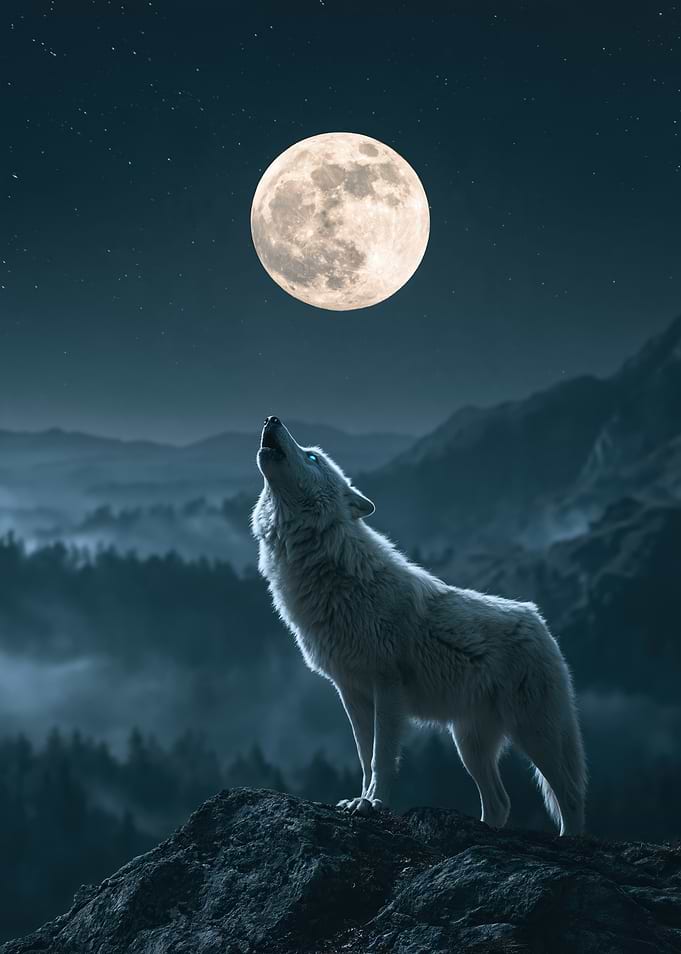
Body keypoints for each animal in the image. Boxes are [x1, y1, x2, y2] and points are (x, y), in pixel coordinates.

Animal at [251, 416, 586, 835]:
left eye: (313, 457)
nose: (271, 419)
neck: (330, 569)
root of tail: (540, 622)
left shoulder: (387, 688)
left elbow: (380, 758)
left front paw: (374, 803)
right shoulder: (351, 692)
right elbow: (363, 757)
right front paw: (358, 800)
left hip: (533, 731)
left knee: (569, 795)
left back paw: (569, 839)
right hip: (470, 744)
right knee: (500, 803)